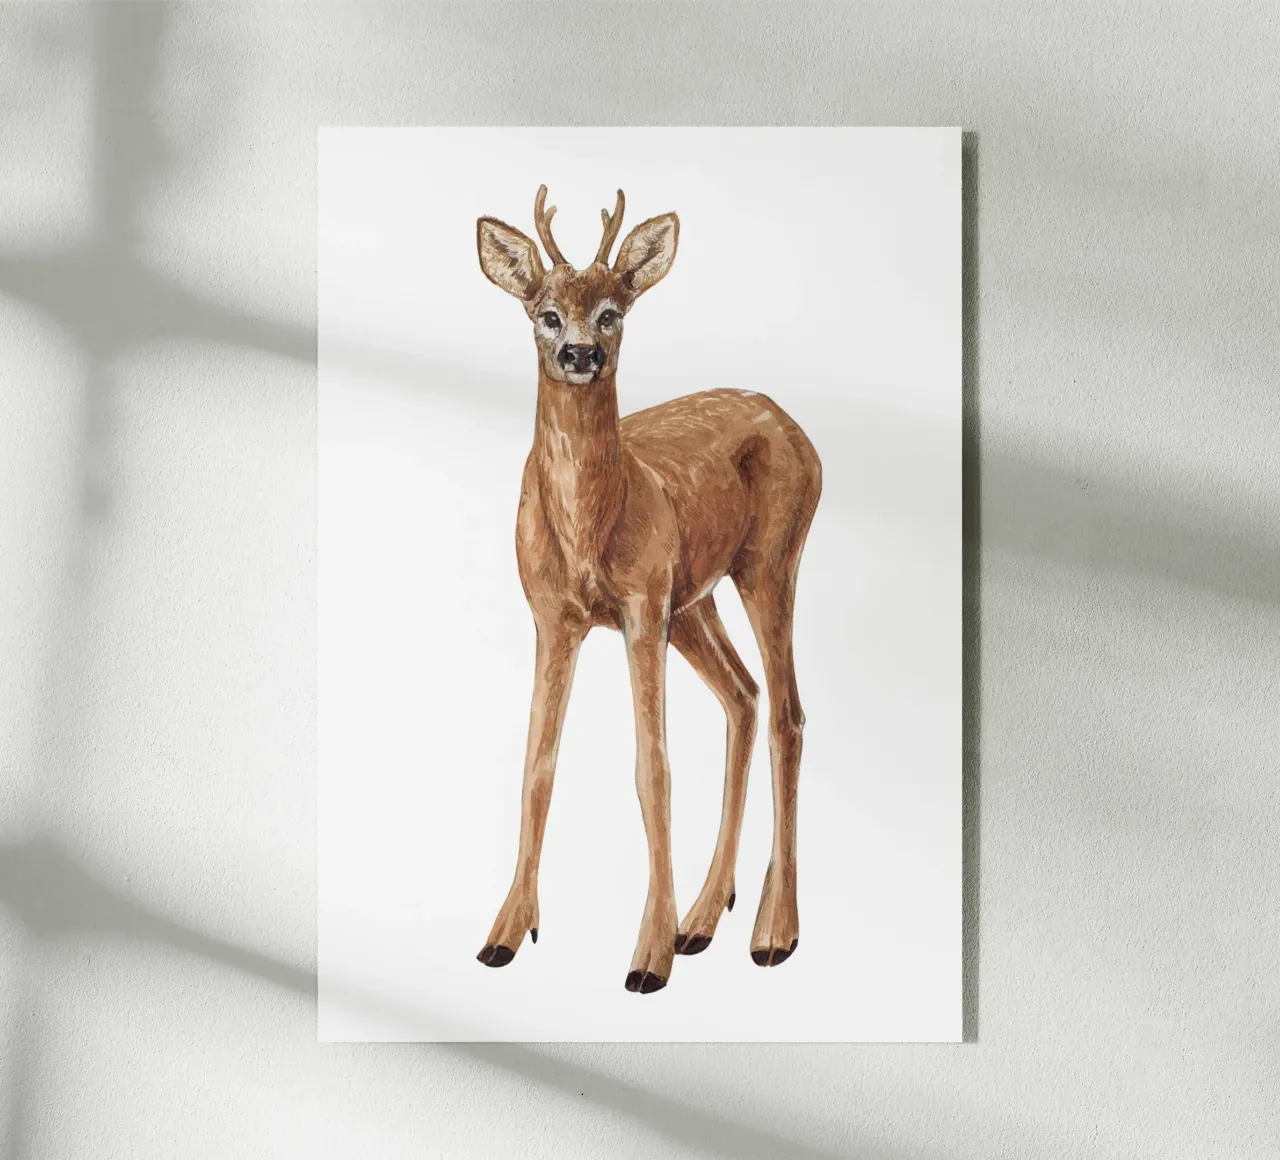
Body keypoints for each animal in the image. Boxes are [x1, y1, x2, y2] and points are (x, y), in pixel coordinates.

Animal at [474, 185, 821, 994]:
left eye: (613, 311)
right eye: (545, 312)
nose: (581, 354)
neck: (589, 528)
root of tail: (796, 428)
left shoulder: (638, 607)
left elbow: (651, 769)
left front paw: (646, 957)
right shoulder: (553, 616)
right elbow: (537, 765)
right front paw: (506, 932)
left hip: (768, 562)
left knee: (788, 712)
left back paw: (771, 933)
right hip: (694, 599)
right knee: (744, 695)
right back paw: (704, 918)